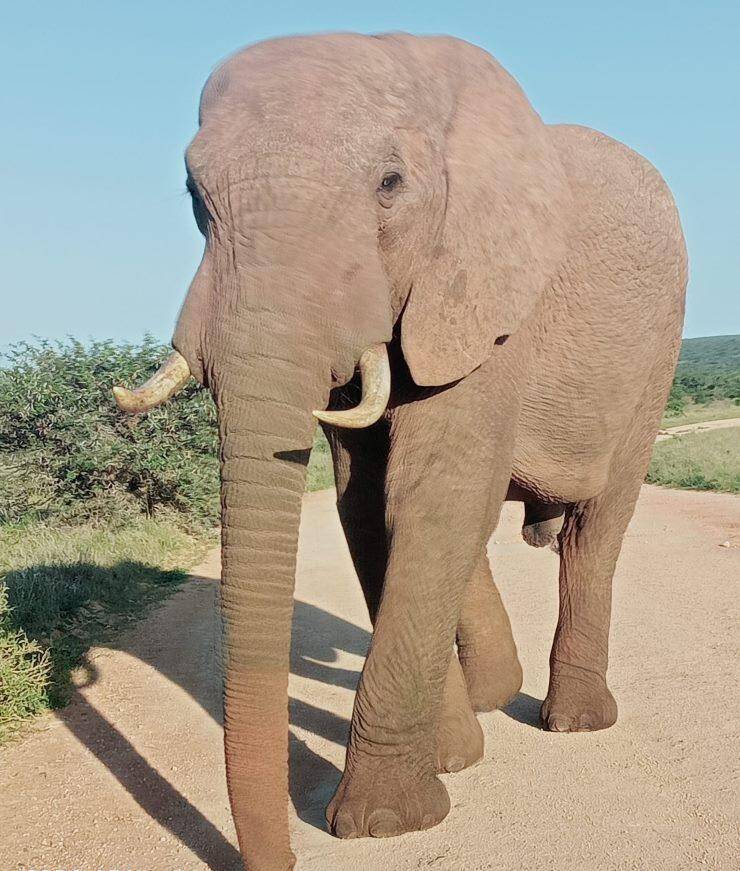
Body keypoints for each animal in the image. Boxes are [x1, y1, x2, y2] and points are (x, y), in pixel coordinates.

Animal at [114, 33, 687, 871]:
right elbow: (366, 503)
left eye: (390, 185)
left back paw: (574, 720)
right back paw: (489, 700)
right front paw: (453, 761)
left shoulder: (488, 298)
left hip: (656, 356)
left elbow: (430, 495)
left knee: (596, 527)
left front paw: (384, 821)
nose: (283, 859)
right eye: (193, 193)